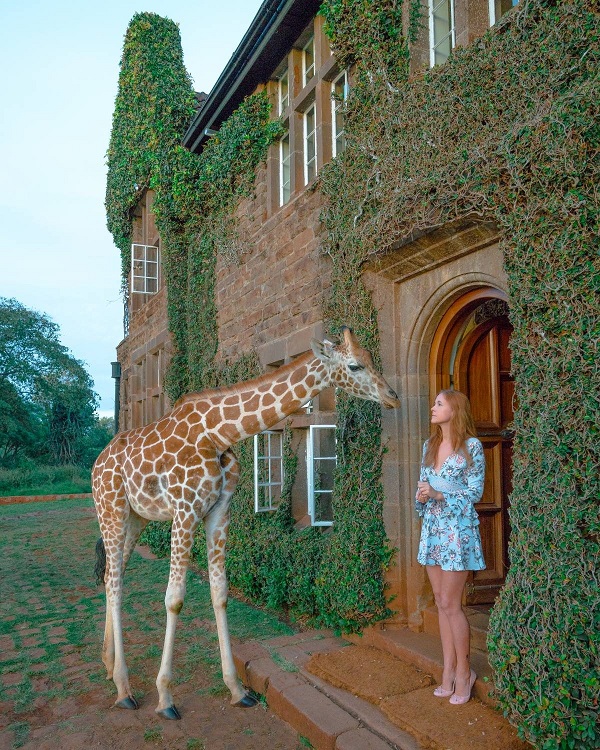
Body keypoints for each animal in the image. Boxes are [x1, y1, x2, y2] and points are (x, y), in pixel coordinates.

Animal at [92, 326, 398, 720]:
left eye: (371, 359)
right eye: (355, 365)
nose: (392, 397)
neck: (218, 433)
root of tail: (97, 462)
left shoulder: (219, 510)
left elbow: (220, 592)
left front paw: (237, 689)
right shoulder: (185, 510)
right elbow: (174, 598)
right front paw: (166, 697)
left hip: (136, 519)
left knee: (111, 576)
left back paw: (108, 664)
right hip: (111, 510)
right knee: (115, 583)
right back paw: (124, 688)